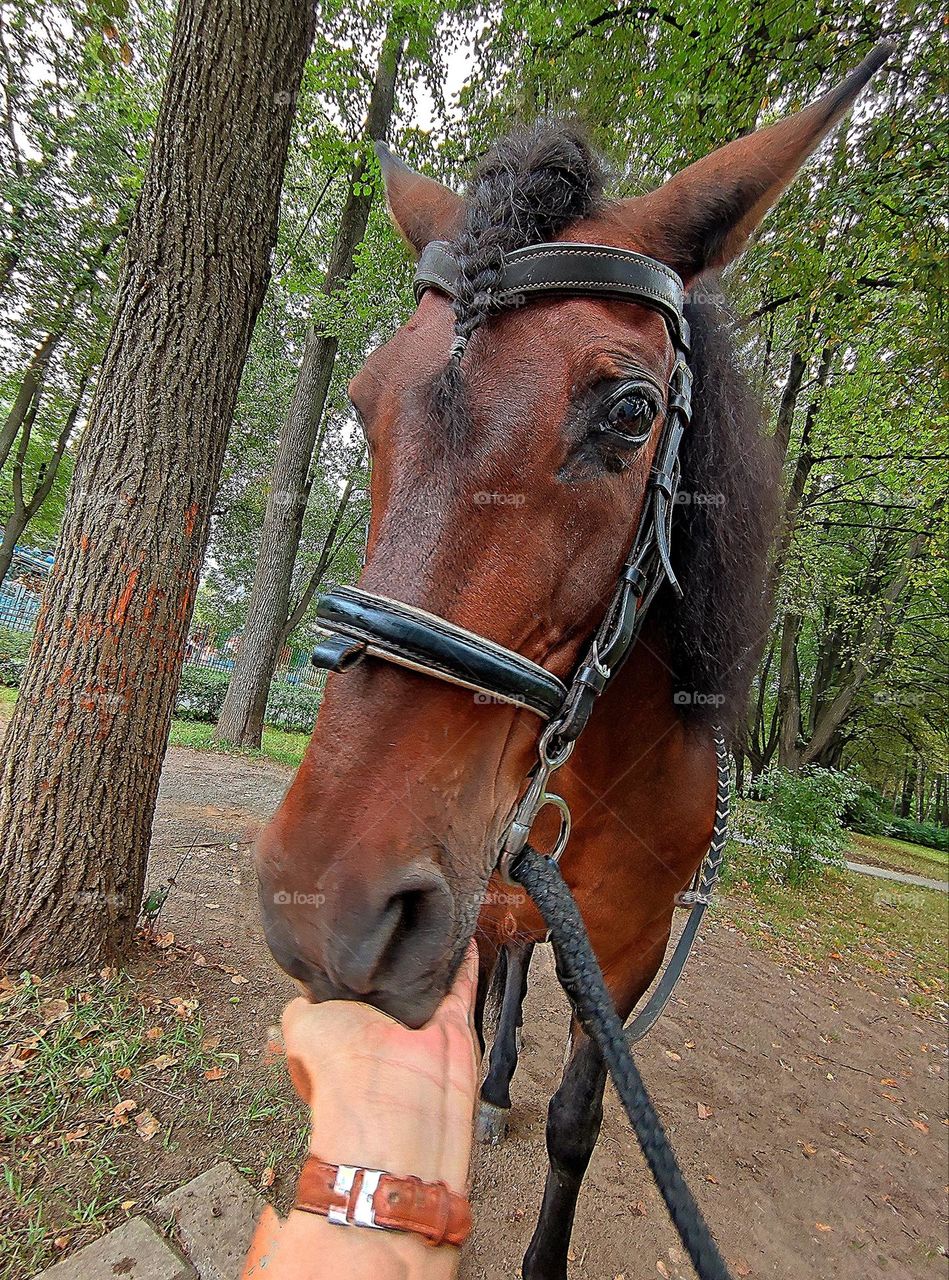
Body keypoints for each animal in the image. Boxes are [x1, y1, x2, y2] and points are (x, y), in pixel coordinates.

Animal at [253, 52, 886, 1280]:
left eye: (631, 413)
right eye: (363, 399)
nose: (326, 900)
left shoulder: (631, 951)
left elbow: (581, 1119)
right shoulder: (482, 900)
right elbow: (485, 1007)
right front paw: (484, 1086)